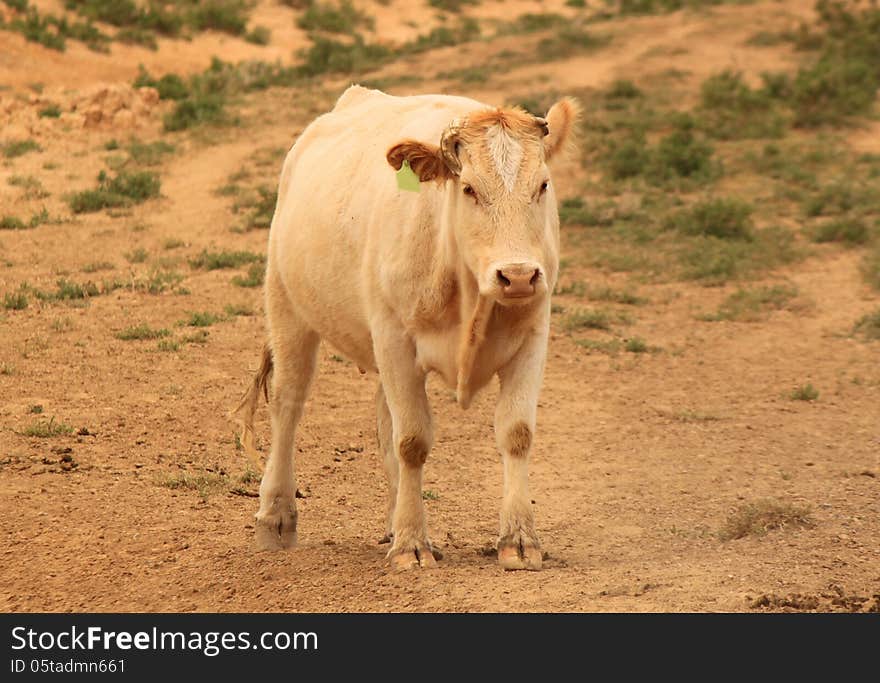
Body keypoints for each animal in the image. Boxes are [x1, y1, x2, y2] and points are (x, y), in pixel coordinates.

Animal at [234, 85, 580, 572]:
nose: (516, 276)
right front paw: (412, 545)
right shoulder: (395, 340)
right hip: (287, 305)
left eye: (543, 186)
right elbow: (413, 440)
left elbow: (516, 433)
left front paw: (518, 539)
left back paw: (393, 521)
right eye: (469, 189)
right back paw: (276, 517)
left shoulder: (533, 335)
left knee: (383, 421)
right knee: (288, 402)